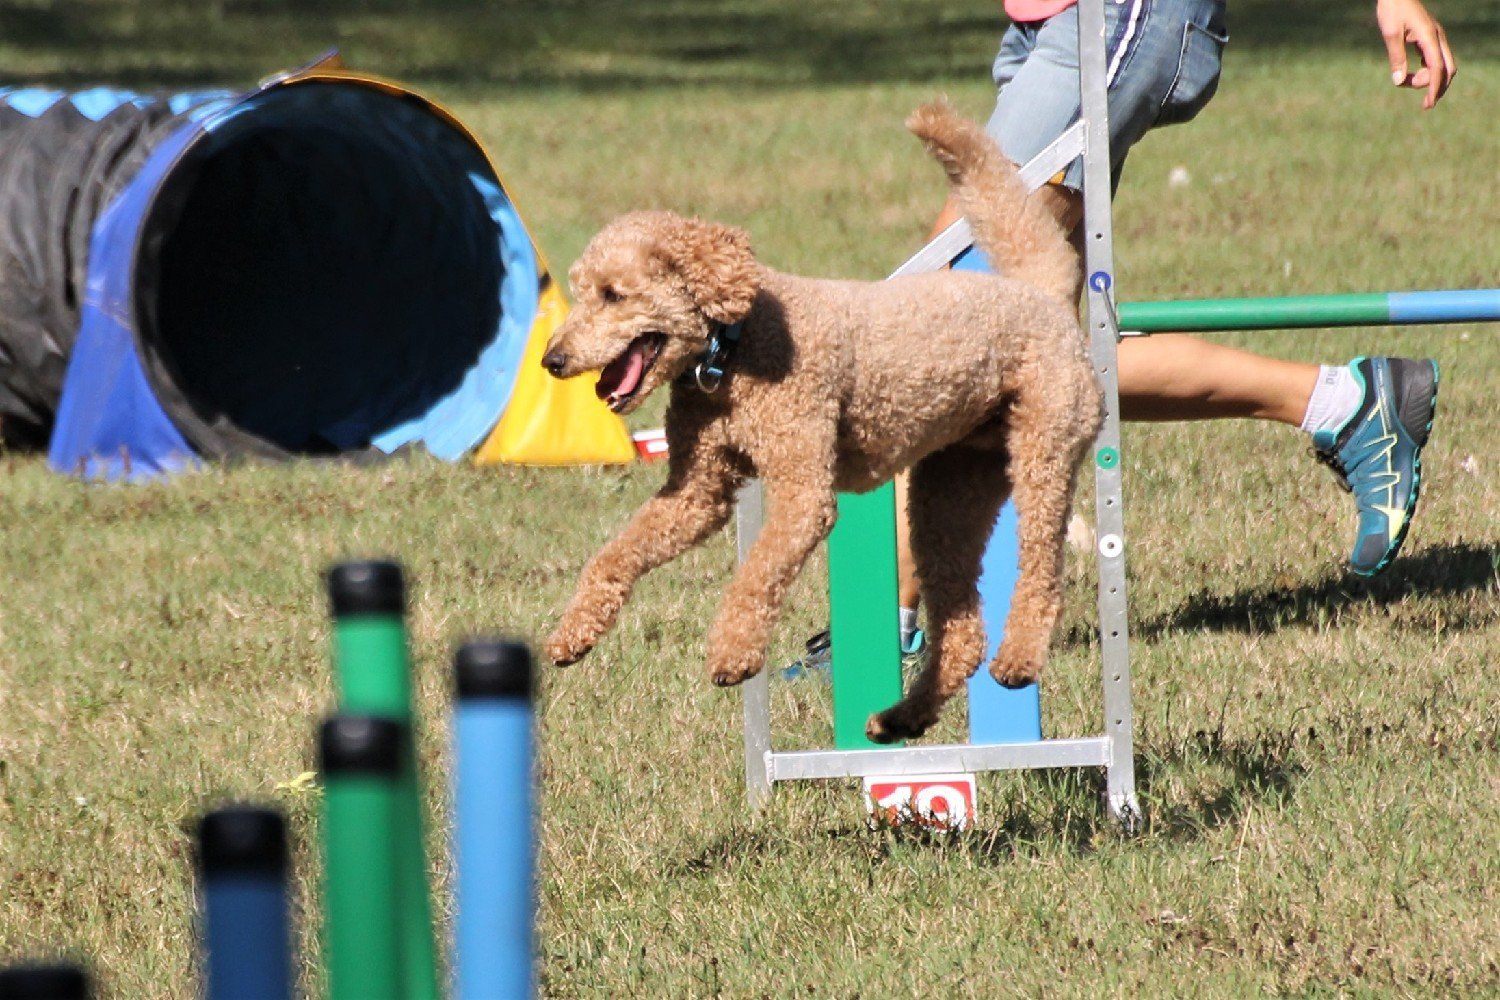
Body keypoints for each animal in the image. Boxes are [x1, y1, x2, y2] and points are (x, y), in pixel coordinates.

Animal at [540, 101, 1101, 743]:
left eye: (613, 294)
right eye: (581, 291)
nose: (552, 360)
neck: (732, 351)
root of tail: (1042, 293)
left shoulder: (802, 487)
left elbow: (757, 572)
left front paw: (733, 653)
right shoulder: (698, 492)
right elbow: (616, 553)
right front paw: (571, 635)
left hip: (1044, 452)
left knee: (1042, 573)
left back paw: (1018, 660)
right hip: (949, 490)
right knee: (961, 631)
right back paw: (900, 718)